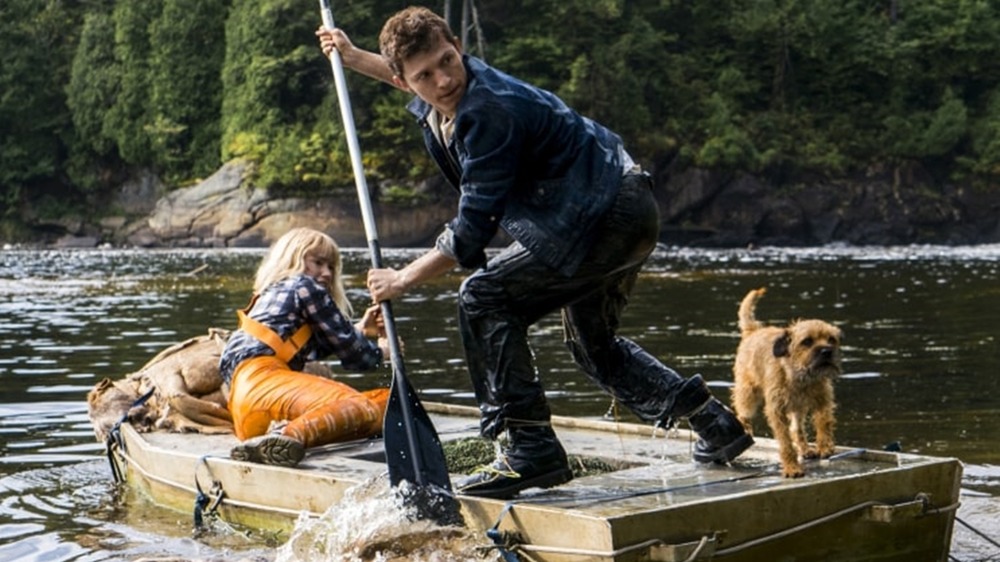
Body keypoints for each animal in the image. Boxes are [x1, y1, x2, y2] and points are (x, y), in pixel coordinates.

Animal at [728, 286, 844, 474]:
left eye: (831, 339)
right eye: (807, 341)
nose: (826, 351)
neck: (801, 377)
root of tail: (753, 331)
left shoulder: (823, 400)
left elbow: (824, 421)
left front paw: (825, 446)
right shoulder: (777, 410)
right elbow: (785, 441)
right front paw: (792, 467)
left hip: (798, 408)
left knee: (796, 429)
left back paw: (805, 449)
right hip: (748, 394)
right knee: (743, 414)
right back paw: (746, 429)